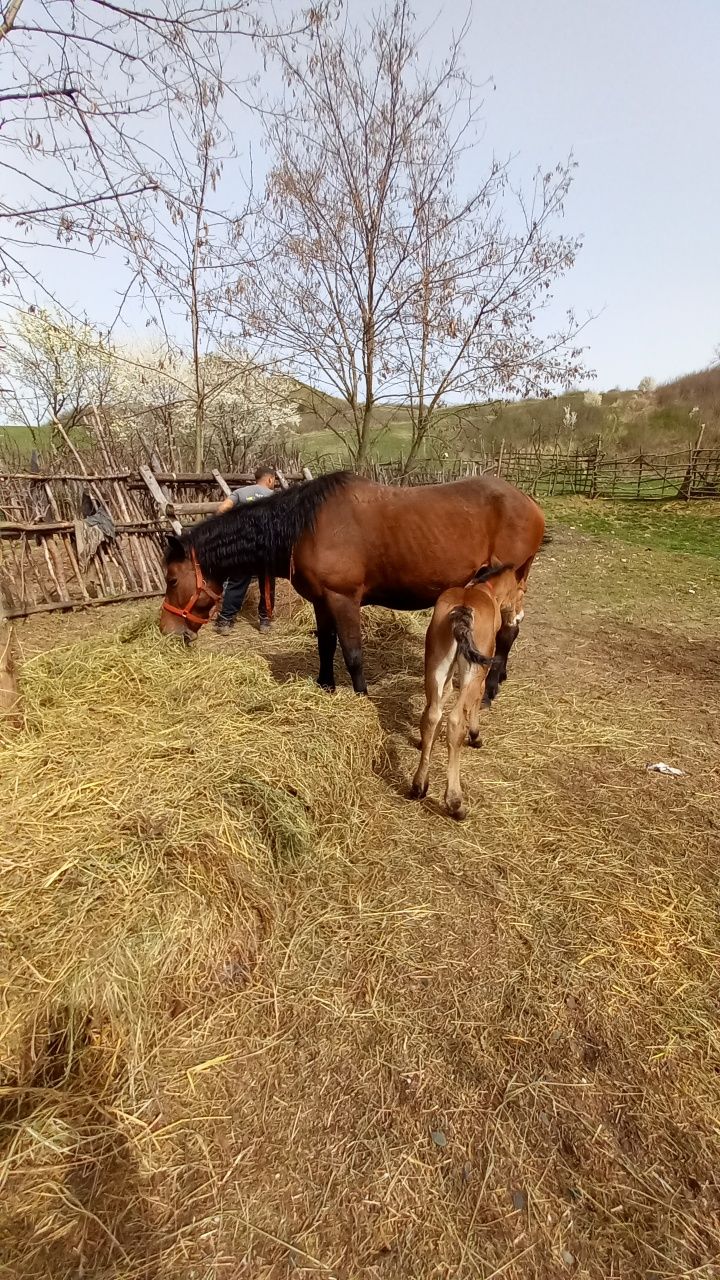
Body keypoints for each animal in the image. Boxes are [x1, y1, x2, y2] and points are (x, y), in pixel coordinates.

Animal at [409, 568, 520, 819]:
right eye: (522, 590)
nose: (518, 617)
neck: (483, 589)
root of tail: (462, 610)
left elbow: (440, 702)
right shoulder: (481, 671)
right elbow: (477, 700)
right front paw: (476, 736)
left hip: (436, 665)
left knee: (432, 716)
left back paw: (419, 786)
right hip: (471, 670)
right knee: (455, 720)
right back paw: (455, 803)